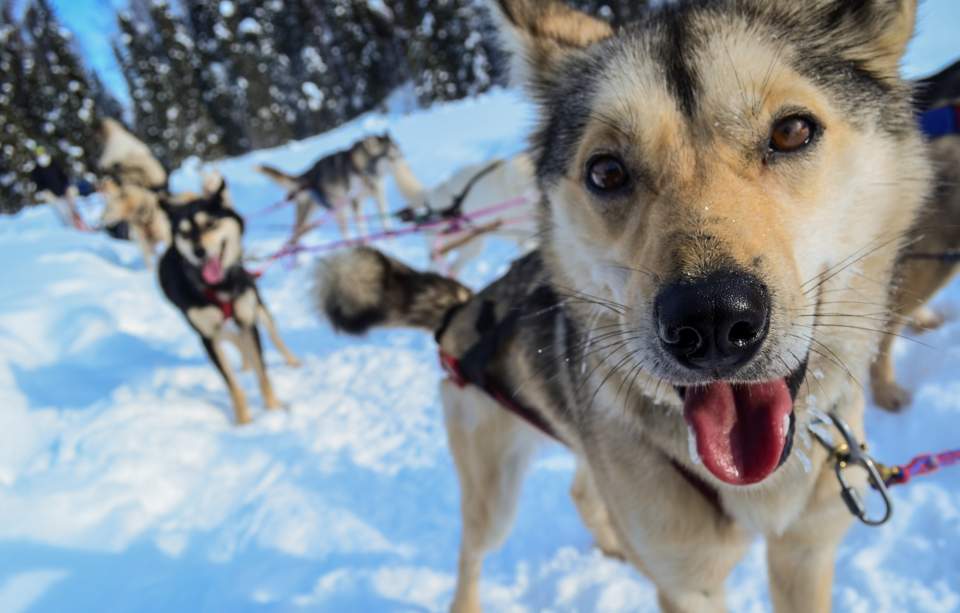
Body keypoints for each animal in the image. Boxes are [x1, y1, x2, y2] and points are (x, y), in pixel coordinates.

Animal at [158, 179, 300, 424]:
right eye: (184, 233)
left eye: (210, 224)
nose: (199, 251)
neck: (219, 288)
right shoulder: (207, 336)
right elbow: (232, 384)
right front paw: (244, 422)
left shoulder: (248, 321)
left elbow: (263, 375)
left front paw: (273, 410)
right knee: (234, 339)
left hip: (257, 307)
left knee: (273, 336)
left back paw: (291, 361)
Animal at [255, 134, 424, 244]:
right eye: (392, 156)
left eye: (400, 150)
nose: (406, 162)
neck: (362, 169)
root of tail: (307, 175)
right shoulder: (356, 202)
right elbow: (362, 228)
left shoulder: (379, 196)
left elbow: (385, 223)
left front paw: (390, 239)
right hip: (334, 211)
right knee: (296, 239)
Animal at [318, 1, 932, 608]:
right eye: (606, 171)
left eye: (791, 131)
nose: (712, 319)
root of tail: (465, 308)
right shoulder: (687, 582)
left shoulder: (804, 553)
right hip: (494, 494)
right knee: (472, 555)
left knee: (581, 491)